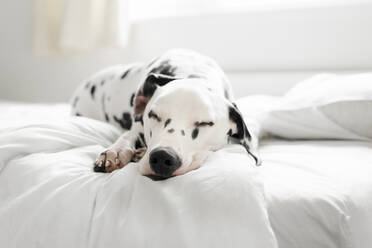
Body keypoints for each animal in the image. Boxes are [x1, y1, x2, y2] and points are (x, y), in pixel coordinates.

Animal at [71, 49, 260, 180]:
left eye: (205, 123)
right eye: (154, 115)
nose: (162, 157)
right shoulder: (138, 124)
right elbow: (128, 135)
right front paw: (116, 152)